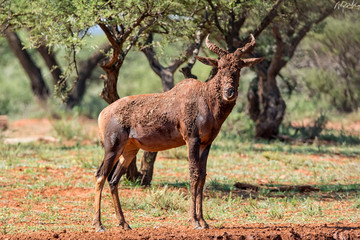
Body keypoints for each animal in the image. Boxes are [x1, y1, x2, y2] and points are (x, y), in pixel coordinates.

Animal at [91, 34, 262, 232]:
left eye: (239, 67)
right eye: (220, 66)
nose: (229, 92)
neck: (204, 97)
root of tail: (103, 113)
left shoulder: (206, 144)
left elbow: (203, 176)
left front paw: (204, 221)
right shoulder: (192, 140)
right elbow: (194, 174)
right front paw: (194, 221)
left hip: (129, 150)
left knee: (113, 180)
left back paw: (124, 223)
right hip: (112, 147)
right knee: (100, 175)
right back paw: (99, 225)